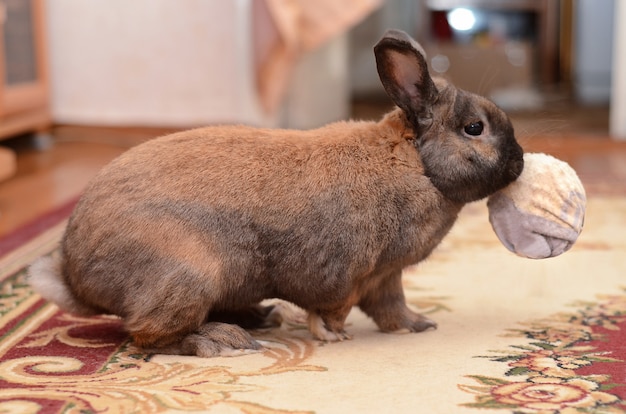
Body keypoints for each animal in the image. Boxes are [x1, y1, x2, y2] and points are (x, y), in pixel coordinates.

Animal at [26, 30, 520, 358]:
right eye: (474, 128)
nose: (518, 162)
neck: (415, 163)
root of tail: (74, 276)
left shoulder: (385, 276)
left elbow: (391, 309)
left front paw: (419, 325)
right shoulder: (349, 275)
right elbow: (335, 309)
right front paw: (332, 336)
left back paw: (259, 317)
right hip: (188, 276)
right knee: (149, 335)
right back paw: (222, 340)